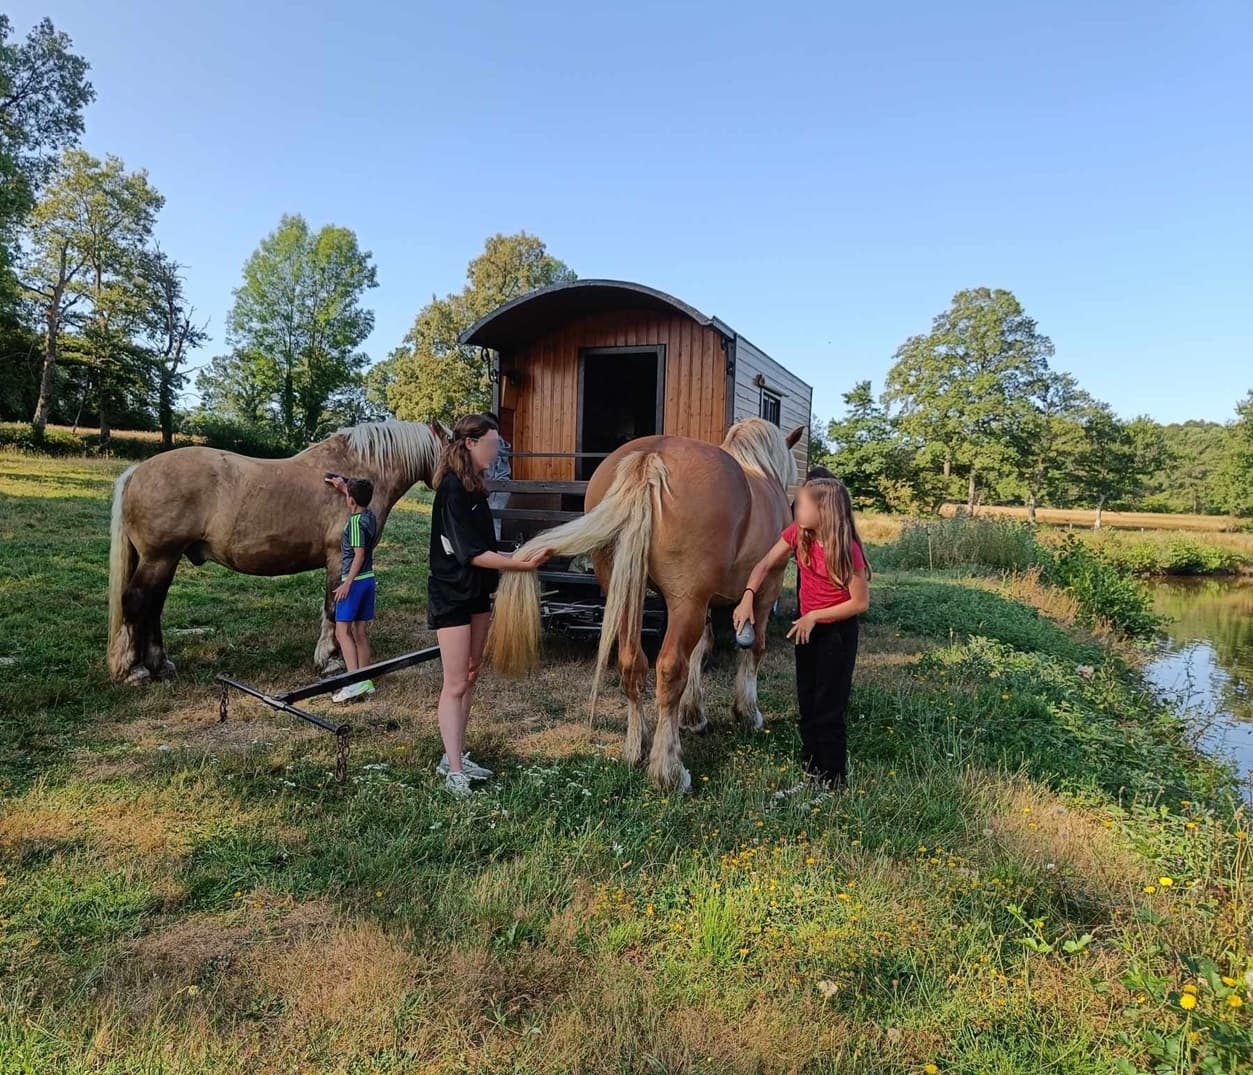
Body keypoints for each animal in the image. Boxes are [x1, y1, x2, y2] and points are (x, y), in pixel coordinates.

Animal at [106, 419, 445, 684]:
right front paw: (331, 661)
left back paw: (159, 665)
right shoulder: (339, 558)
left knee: (153, 607)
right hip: (159, 558)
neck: (356, 472)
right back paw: (135, 670)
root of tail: (137, 471)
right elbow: (333, 608)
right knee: (137, 602)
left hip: (166, 560)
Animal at [488, 418, 803, 791]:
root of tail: (651, 458)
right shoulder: (762, 592)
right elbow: (752, 650)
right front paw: (747, 713)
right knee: (668, 669)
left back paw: (637, 748)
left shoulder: (706, 604)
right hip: (684, 601)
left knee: (631, 663)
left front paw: (694, 716)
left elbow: (701, 651)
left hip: (628, 592)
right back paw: (669, 770)